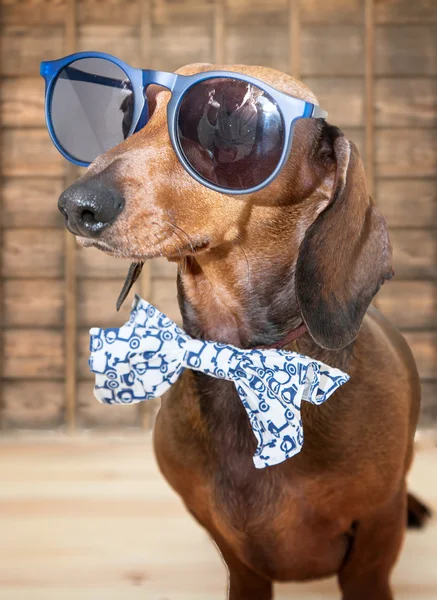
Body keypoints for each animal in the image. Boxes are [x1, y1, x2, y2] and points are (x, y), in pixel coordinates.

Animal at [58, 63, 430, 596]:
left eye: (229, 117)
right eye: (129, 112)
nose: (77, 206)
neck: (244, 361)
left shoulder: (375, 538)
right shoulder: (233, 551)